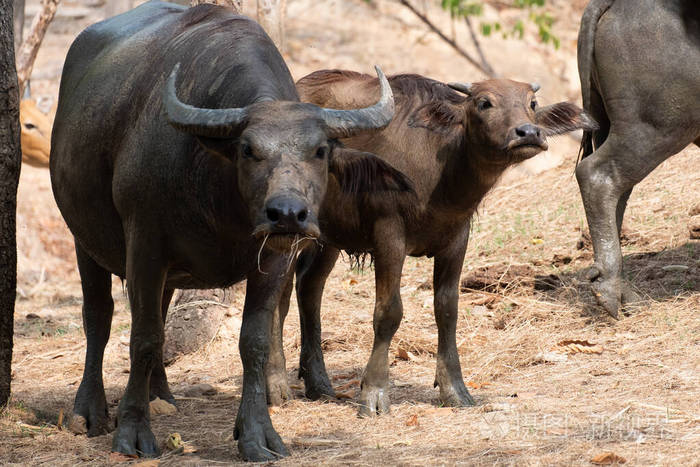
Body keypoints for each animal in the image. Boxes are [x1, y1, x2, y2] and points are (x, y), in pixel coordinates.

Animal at [50, 2, 408, 461]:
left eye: (320, 150)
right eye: (248, 149)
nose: (287, 215)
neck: (220, 199)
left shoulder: (272, 258)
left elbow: (253, 341)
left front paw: (257, 435)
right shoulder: (145, 245)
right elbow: (143, 337)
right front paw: (133, 431)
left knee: (160, 313)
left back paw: (160, 396)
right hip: (84, 241)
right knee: (99, 315)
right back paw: (89, 411)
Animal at [263, 70, 597, 416]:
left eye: (532, 103)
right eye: (484, 103)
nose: (528, 132)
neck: (443, 169)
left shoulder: (456, 239)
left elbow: (447, 309)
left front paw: (455, 389)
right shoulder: (389, 234)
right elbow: (388, 312)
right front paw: (374, 393)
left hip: (328, 238)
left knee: (309, 288)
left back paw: (318, 383)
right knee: (277, 297)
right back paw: (276, 385)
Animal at [576, 0, 700, 318]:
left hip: (612, 128)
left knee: (617, 195)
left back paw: (625, 294)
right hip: (657, 129)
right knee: (597, 176)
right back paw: (610, 291)